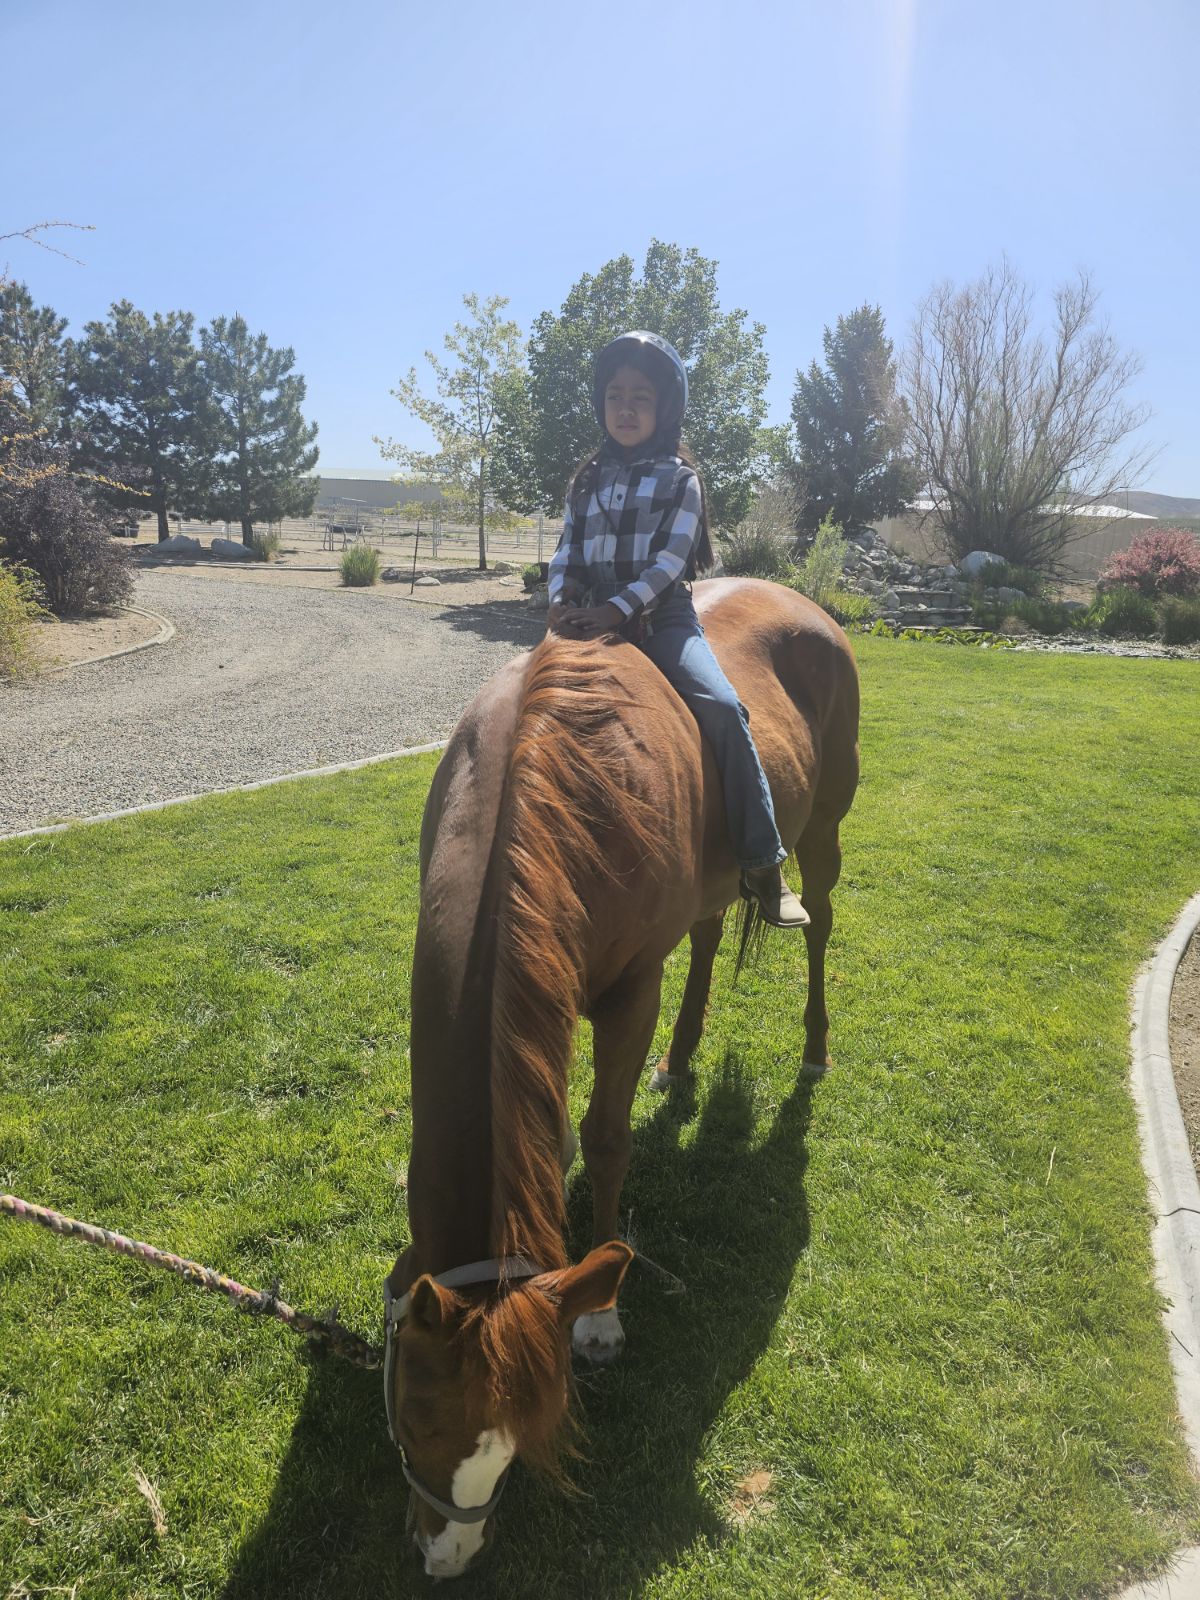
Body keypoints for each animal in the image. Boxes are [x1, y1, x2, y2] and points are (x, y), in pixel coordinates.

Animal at [380, 576, 857, 1574]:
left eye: (513, 1449)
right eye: (414, 1423)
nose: (447, 1558)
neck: (539, 789)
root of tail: (805, 602)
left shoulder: (629, 991)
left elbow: (604, 1139)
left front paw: (600, 1315)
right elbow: (562, 1128)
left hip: (824, 830)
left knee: (823, 918)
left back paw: (815, 1042)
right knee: (709, 933)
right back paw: (680, 1061)